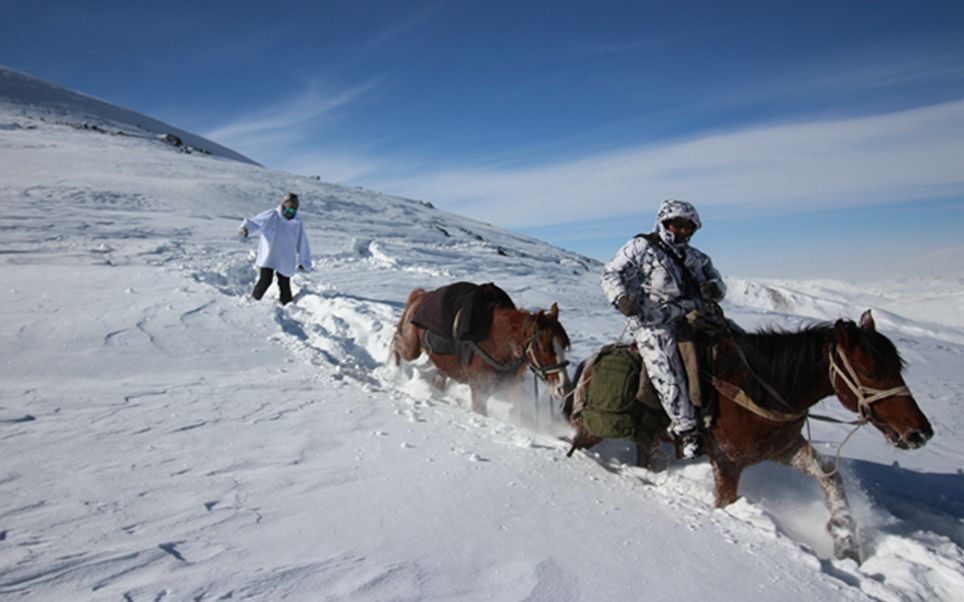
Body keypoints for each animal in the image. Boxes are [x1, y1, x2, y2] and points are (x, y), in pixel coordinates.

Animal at [392, 284, 572, 414]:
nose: (564, 388)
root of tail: (420, 297)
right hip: (411, 349)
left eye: (564, 345)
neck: (496, 344)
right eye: (545, 348)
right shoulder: (479, 392)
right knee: (396, 344)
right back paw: (394, 371)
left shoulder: (511, 387)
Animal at [564, 310, 932, 564]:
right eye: (870, 371)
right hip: (595, 431)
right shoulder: (728, 463)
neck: (763, 388)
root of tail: (590, 363)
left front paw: (846, 544)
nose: (919, 432)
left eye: (897, 367)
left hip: (647, 439)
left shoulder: (785, 448)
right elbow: (725, 501)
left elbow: (830, 476)